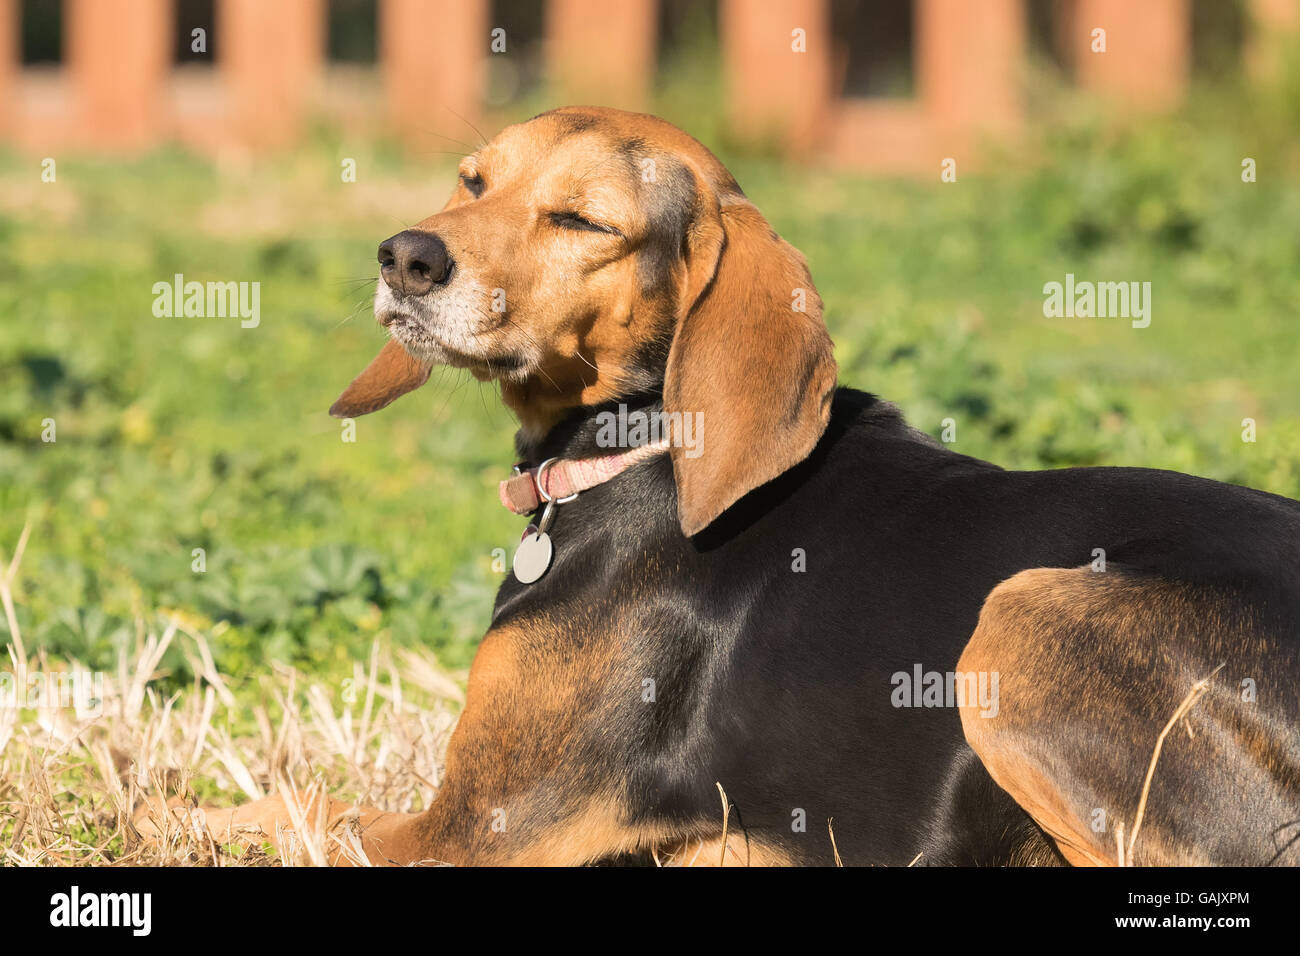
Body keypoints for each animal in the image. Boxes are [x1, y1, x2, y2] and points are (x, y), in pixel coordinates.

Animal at [162, 106, 1300, 868]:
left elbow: (290, 807)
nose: (405, 256)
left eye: (582, 221)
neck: (639, 447)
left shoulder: (469, 831)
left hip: (1025, 615)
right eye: (473, 182)